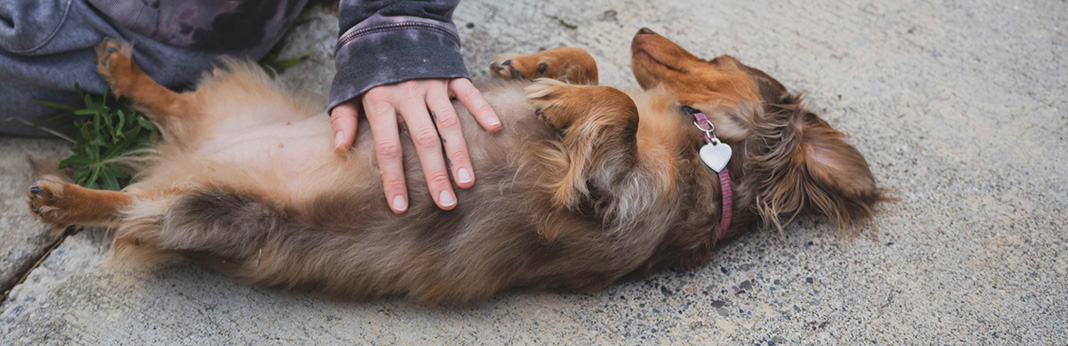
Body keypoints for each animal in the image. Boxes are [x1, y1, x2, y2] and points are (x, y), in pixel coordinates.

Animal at [25, 28, 880, 303]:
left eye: (723, 60)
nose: (642, 28)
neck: (708, 162)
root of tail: (195, 159)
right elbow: (596, 72)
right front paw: (539, 70)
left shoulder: (609, 205)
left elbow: (619, 107)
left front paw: (559, 104)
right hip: (224, 115)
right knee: (168, 103)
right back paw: (120, 68)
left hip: (210, 212)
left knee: (130, 206)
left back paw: (62, 197)